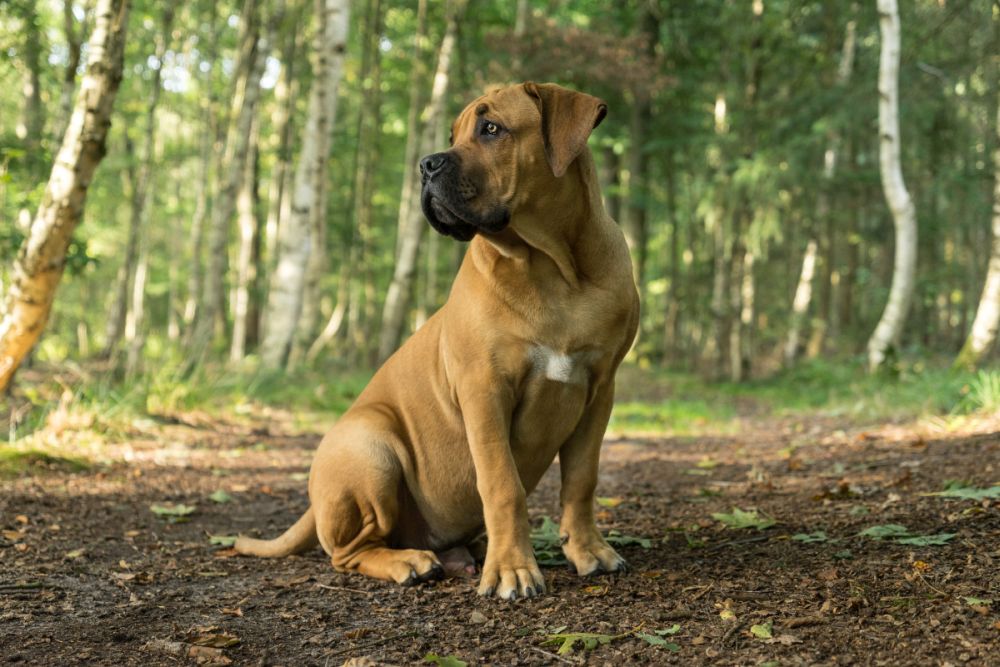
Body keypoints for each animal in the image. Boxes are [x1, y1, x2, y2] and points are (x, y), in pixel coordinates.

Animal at [235, 82, 640, 600]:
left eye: (491, 128)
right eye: (453, 135)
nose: (426, 164)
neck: (551, 266)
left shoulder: (598, 389)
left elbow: (582, 480)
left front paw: (588, 550)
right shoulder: (484, 390)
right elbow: (502, 484)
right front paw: (512, 570)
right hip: (371, 447)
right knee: (348, 552)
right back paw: (409, 561)